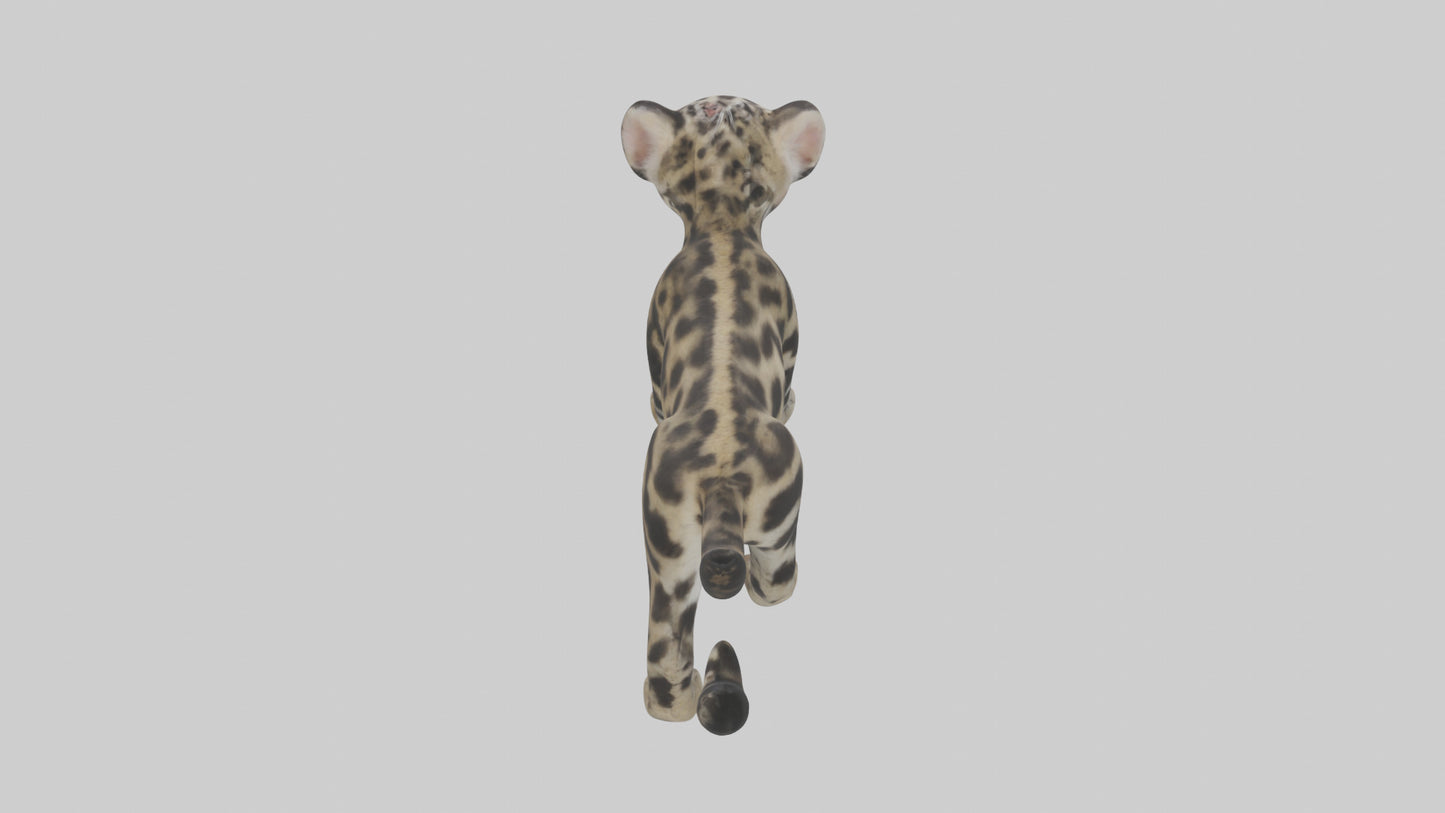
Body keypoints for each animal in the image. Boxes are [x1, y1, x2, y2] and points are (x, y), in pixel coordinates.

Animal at [621, 95, 825, 735]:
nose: (721, 99)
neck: (719, 224)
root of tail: (722, 470)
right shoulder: (791, 334)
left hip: (667, 551)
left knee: (665, 657)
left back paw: (681, 701)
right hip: (780, 520)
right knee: (775, 582)